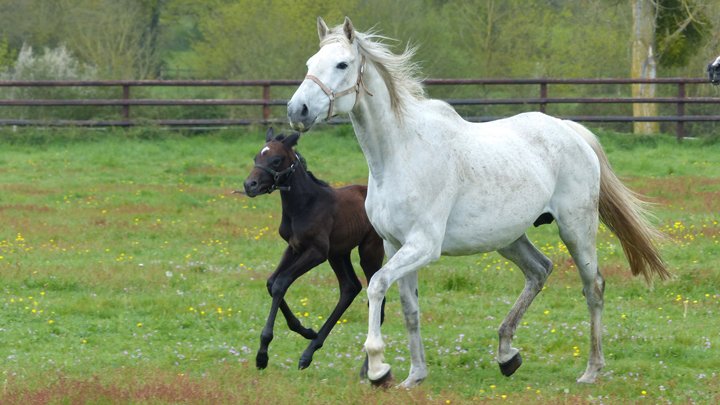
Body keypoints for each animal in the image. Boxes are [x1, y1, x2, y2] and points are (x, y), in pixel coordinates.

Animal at [243, 127, 385, 374]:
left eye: (276, 160)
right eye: (256, 157)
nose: (249, 185)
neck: (305, 204)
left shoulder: (316, 252)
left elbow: (281, 283)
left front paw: (262, 354)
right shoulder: (293, 247)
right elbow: (271, 283)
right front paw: (305, 330)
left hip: (369, 251)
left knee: (375, 300)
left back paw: (367, 367)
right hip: (339, 253)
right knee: (350, 288)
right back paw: (309, 351)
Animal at [287, 17, 670, 388]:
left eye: (342, 64)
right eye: (309, 63)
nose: (296, 110)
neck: (401, 153)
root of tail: (570, 130)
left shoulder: (423, 245)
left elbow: (378, 285)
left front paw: (379, 367)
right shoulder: (395, 244)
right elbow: (409, 309)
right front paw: (414, 375)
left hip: (576, 229)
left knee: (593, 288)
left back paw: (591, 370)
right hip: (509, 238)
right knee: (539, 270)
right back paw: (507, 354)